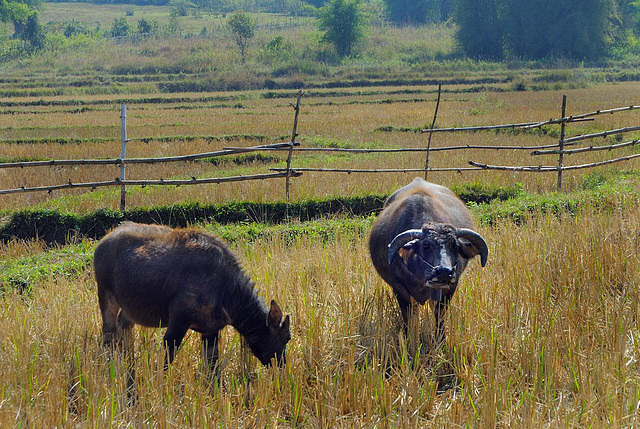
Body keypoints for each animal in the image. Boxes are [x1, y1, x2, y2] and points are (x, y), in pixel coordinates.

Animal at [368, 177, 488, 342]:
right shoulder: (398, 287)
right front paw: (409, 339)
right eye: (426, 245)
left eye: (455, 246)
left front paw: (440, 339)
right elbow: (409, 316)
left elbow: (439, 315)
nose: (444, 272)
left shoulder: (450, 288)